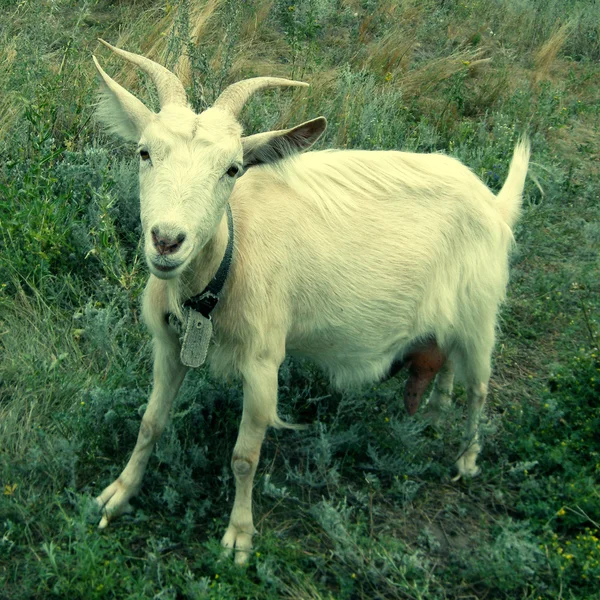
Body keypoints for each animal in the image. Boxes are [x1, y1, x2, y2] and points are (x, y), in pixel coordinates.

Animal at [91, 41, 528, 564]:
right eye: (144, 152)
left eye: (232, 169)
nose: (167, 241)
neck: (226, 266)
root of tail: (495, 204)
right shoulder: (169, 346)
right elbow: (150, 423)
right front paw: (117, 494)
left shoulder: (264, 364)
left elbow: (244, 457)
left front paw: (239, 537)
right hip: (451, 322)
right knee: (447, 365)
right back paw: (436, 411)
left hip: (481, 314)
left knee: (479, 387)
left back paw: (466, 459)